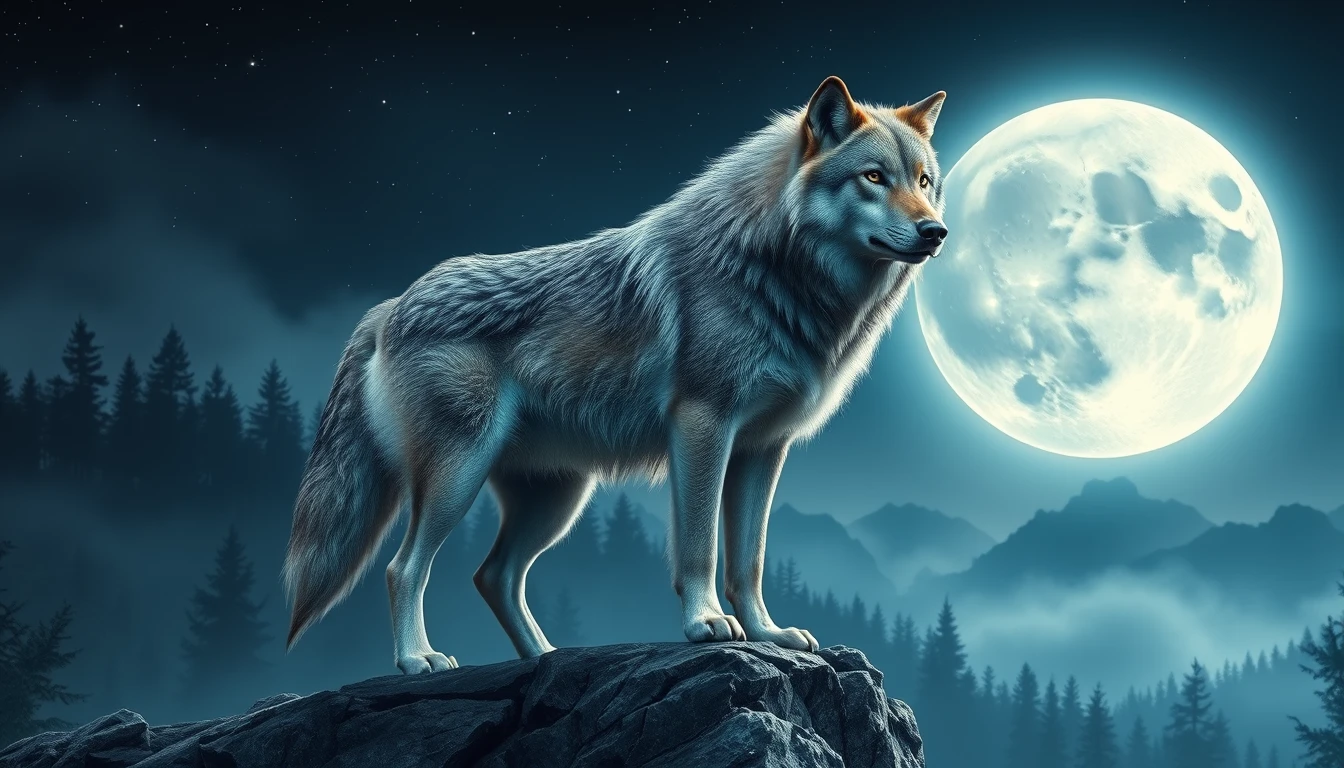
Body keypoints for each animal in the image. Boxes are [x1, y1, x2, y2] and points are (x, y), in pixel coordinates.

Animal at [282, 76, 949, 674]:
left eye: (924, 183)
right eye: (874, 177)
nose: (936, 231)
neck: (772, 266)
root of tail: (391, 304)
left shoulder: (763, 448)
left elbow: (750, 560)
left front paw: (766, 633)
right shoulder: (703, 427)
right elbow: (701, 549)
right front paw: (707, 624)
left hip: (559, 499)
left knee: (493, 575)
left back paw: (547, 658)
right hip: (458, 476)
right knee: (404, 569)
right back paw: (419, 660)